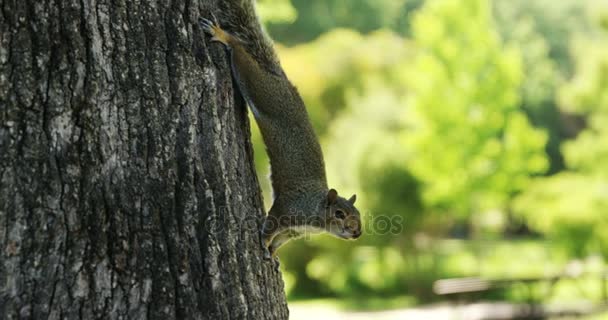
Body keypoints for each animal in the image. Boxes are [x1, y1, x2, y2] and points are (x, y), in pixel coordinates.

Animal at [200, 1, 360, 262]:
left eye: (358, 213)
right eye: (339, 214)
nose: (357, 232)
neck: (315, 209)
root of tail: (280, 79)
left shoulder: (294, 231)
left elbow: (280, 240)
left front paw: (273, 253)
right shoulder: (287, 209)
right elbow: (270, 228)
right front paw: (264, 244)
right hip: (262, 89)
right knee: (242, 55)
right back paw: (223, 36)